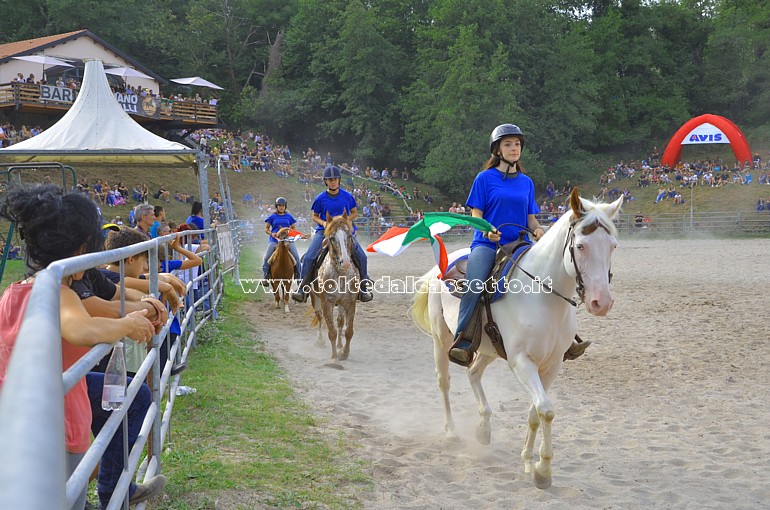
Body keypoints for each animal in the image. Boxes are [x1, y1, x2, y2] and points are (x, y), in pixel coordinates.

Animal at [310, 213, 358, 360]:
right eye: (332, 238)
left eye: (349, 235)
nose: (346, 263)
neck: (340, 274)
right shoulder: (327, 302)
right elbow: (331, 331)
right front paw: (335, 356)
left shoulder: (350, 302)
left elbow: (348, 331)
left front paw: (344, 352)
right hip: (315, 298)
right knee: (319, 317)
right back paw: (320, 340)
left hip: (341, 303)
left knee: (340, 321)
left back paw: (340, 345)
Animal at [412, 188, 620, 490]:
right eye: (581, 246)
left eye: (613, 246)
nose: (601, 303)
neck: (543, 297)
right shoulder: (522, 362)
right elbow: (546, 409)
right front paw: (543, 470)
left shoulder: (552, 364)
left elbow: (535, 411)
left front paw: (529, 462)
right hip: (442, 339)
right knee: (444, 382)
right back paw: (451, 432)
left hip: (487, 348)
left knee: (474, 374)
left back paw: (483, 428)